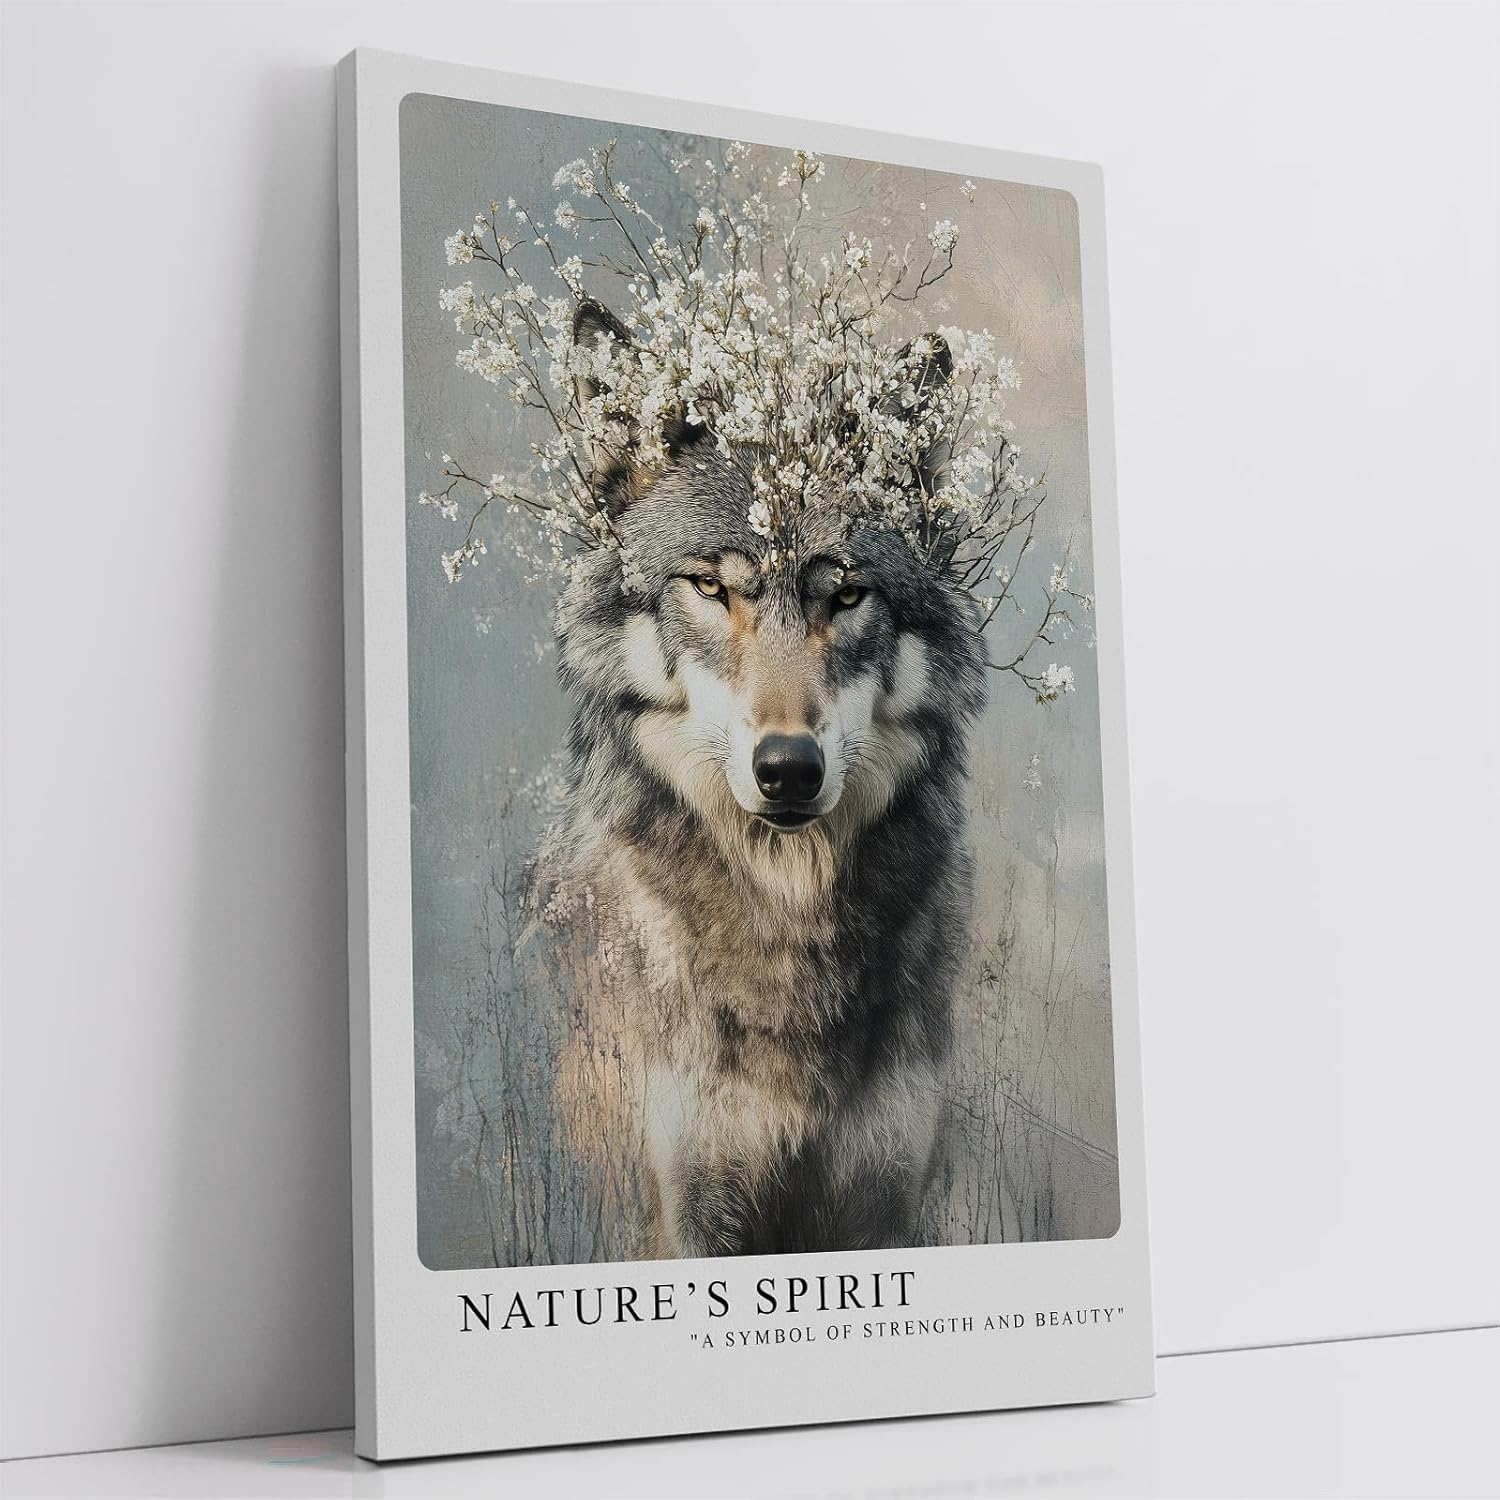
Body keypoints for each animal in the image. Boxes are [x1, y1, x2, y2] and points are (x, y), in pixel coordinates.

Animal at [531, 300, 988, 1258]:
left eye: (844, 597)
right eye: (711, 588)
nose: (788, 770)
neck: (786, 915)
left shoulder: (888, 1207)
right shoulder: (685, 1215)